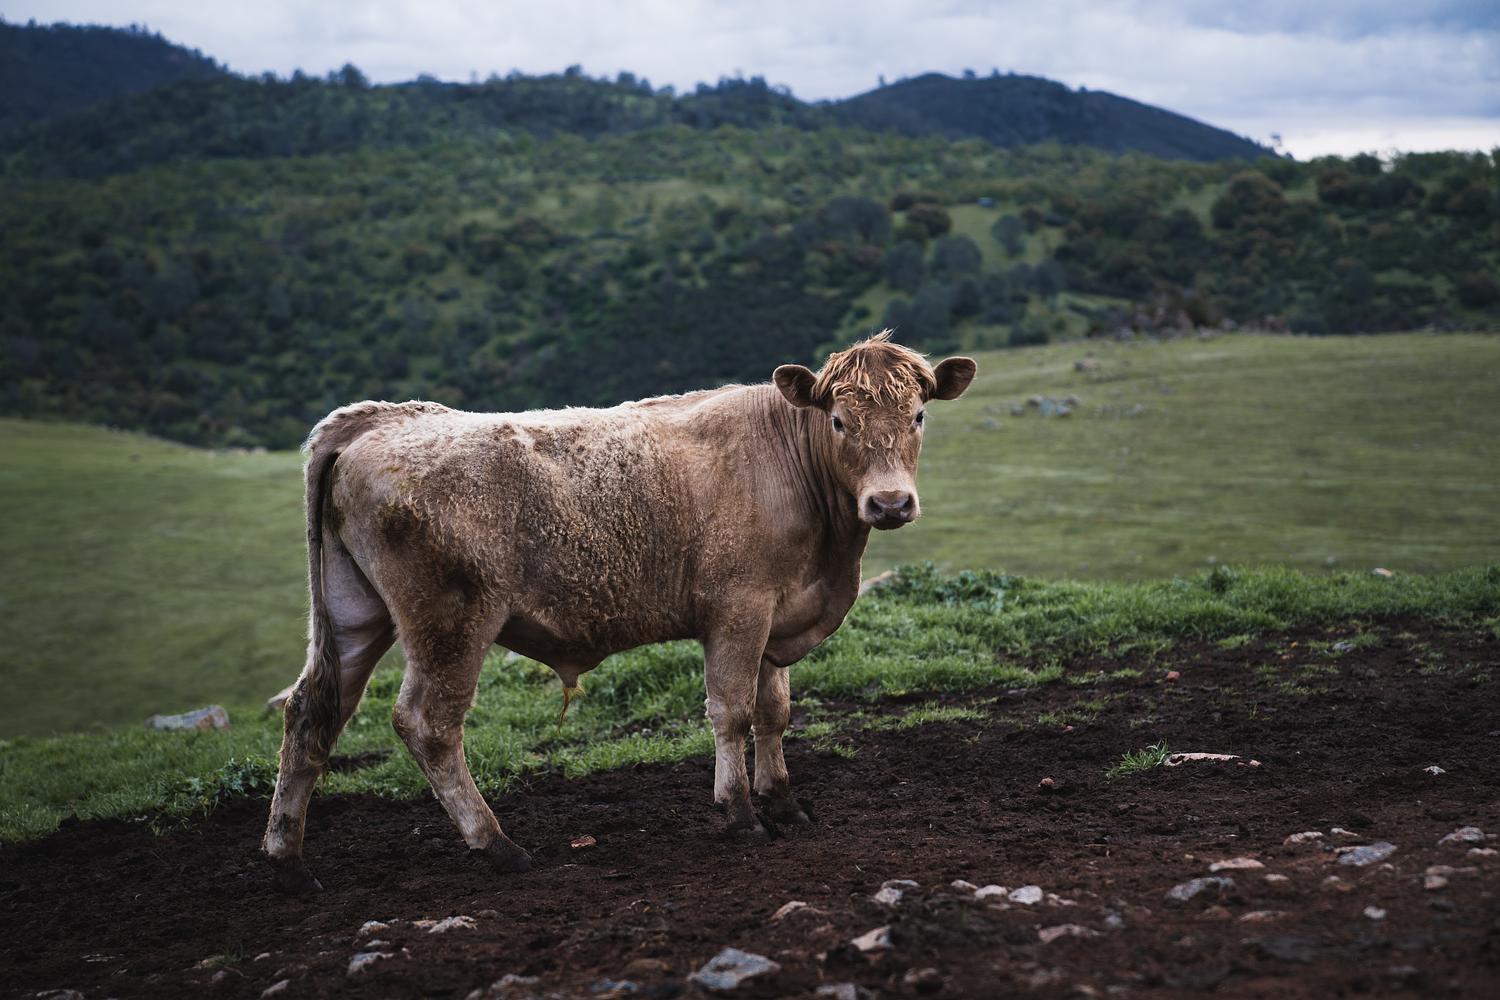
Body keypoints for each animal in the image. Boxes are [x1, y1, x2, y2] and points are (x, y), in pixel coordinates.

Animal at [263, 332, 976, 893]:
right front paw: (741, 814)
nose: (890, 503)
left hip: (356, 615)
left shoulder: (780, 614)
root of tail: (379, 419)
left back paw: (287, 860)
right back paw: (498, 844)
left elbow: (775, 711)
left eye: (918, 416)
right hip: (450, 621)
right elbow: (732, 710)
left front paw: (783, 803)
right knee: (427, 725)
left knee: (312, 710)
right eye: (838, 422)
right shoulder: (738, 610)